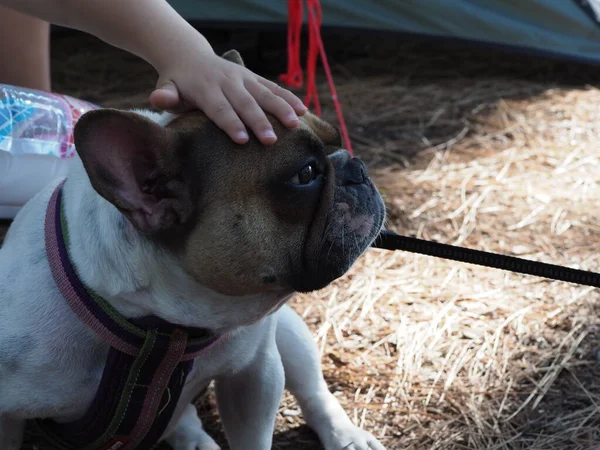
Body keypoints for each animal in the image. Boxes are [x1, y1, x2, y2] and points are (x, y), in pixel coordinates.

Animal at [0, 51, 386, 448]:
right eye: (305, 174)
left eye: (337, 139)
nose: (355, 165)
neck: (163, 323)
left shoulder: (255, 374)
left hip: (289, 334)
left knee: (313, 391)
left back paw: (345, 434)